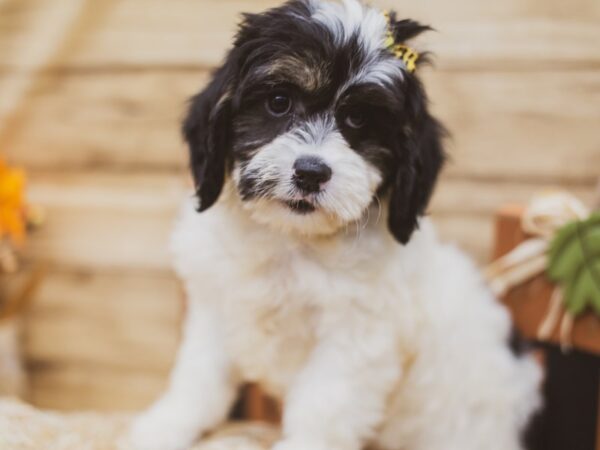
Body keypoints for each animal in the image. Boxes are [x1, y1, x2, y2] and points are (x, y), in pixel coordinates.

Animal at [129, 0, 540, 450]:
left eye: (358, 119)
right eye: (278, 102)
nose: (311, 173)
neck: (291, 239)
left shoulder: (356, 341)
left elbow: (323, 405)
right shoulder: (215, 308)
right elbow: (198, 377)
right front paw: (165, 425)